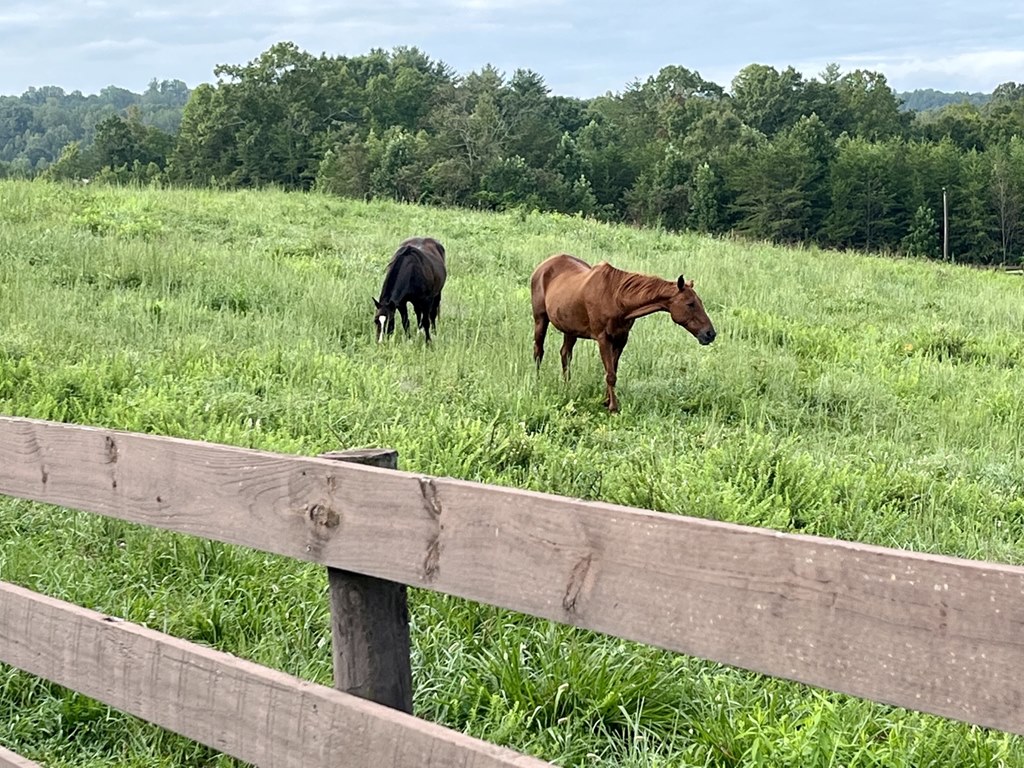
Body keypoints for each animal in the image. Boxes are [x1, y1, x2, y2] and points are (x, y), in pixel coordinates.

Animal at [530, 253, 716, 412]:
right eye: (690, 304)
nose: (710, 334)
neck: (616, 298)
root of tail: (542, 266)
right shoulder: (603, 338)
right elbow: (611, 375)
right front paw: (613, 407)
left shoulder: (621, 339)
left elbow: (613, 370)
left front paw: (606, 401)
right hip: (540, 320)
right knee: (539, 351)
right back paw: (537, 382)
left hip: (570, 329)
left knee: (565, 354)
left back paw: (567, 387)